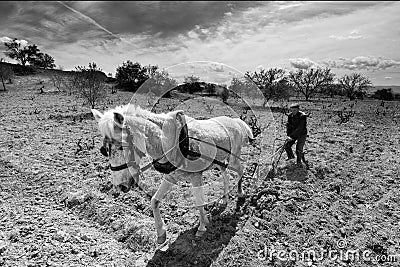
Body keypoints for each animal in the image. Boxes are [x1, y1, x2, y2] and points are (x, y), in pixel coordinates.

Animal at [92, 105, 252, 245]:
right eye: (104, 150)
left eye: (121, 147)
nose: (120, 186)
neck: (173, 143)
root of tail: (236, 121)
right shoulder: (170, 177)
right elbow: (154, 201)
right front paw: (161, 234)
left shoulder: (196, 177)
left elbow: (199, 202)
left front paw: (202, 227)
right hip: (219, 162)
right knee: (226, 175)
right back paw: (224, 198)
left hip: (233, 158)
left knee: (241, 170)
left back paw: (241, 194)